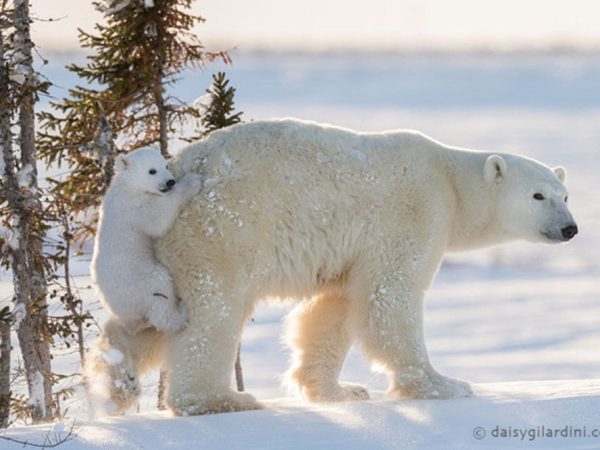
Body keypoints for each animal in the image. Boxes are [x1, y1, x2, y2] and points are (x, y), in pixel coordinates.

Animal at [127, 117, 576, 414]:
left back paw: (120, 377)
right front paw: (444, 385)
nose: (570, 228)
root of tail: (177, 167)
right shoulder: (414, 212)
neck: (449, 179)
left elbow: (334, 308)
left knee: (149, 318)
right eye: (538, 195)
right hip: (219, 232)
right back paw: (217, 399)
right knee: (212, 314)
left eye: (565, 194)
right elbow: (390, 294)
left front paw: (339, 391)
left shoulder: (350, 252)